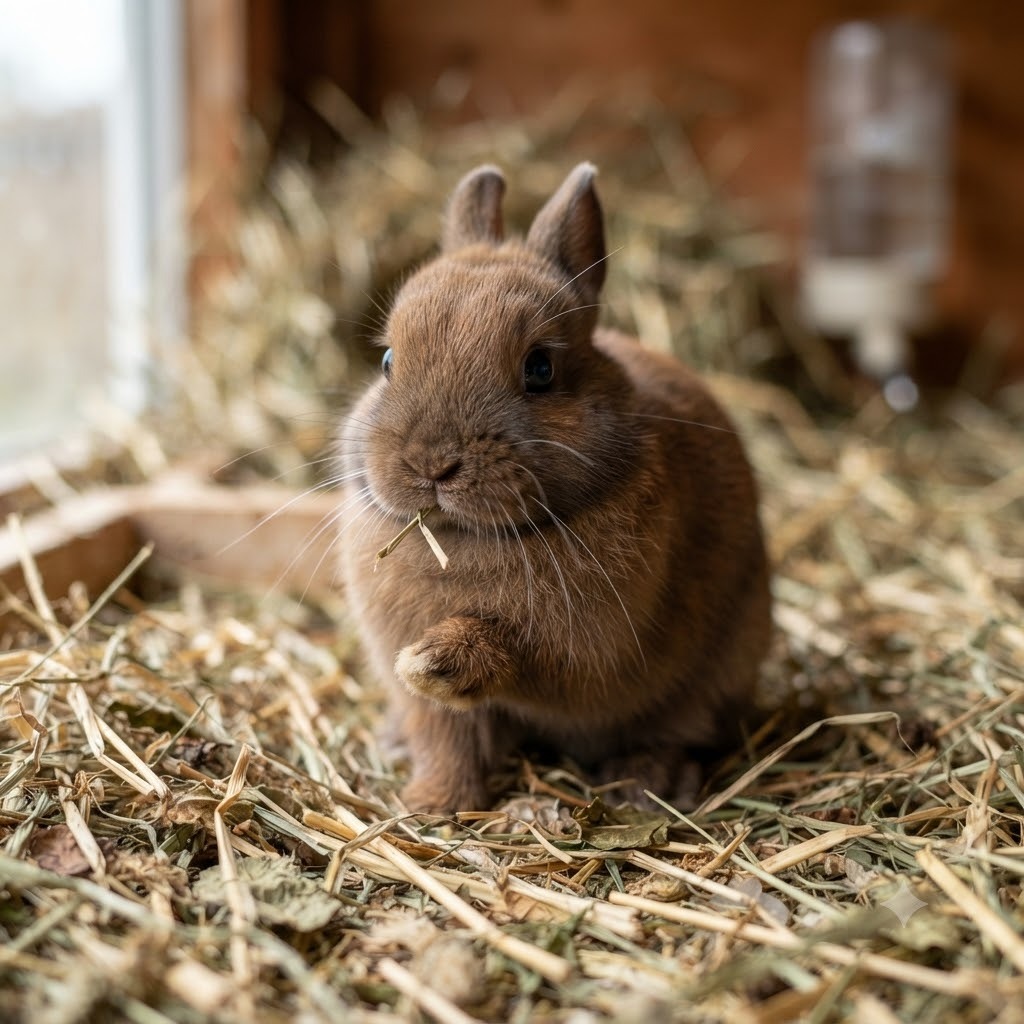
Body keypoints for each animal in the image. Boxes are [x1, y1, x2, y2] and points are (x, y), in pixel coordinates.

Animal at [336, 162, 772, 813]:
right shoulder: (438, 713)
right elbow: (446, 741)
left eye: (540, 368)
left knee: (678, 731)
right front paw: (430, 803)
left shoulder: (586, 651)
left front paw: (433, 662)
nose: (431, 464)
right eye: (388, 361)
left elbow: (524, 661)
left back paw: (645, 785)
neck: (464, 539)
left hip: (714, 678)